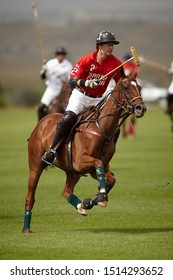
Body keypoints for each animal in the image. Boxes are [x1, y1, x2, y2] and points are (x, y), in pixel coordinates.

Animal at [22, 75, 146, 234]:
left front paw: (93, 200)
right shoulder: (81, 162)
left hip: (72, 172)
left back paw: (81, 206)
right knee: (30, 197)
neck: (101, 128)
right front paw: (100, 197)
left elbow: (110, 179)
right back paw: (26, 228)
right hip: (36, 166)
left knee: (66, 191)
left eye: (140, 87)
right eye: (125, 87)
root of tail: (41, 123)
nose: (141, 108)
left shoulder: (94, 168)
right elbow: (99, 165)